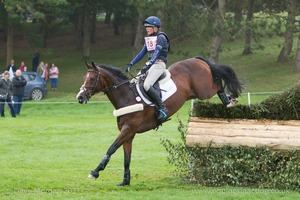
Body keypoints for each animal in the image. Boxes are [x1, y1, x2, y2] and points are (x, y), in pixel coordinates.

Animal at [76, 56, 243, 186]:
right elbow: (126, 157)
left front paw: (95, 171)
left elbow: (111, 148)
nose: (80, 97)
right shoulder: (129, 133)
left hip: (204, 91)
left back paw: (230, 100)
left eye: (92, 79)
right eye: (84, 79)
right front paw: (125, 181)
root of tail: (197, 60)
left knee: (218, 84)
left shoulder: (129, 128)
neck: (126, 96)